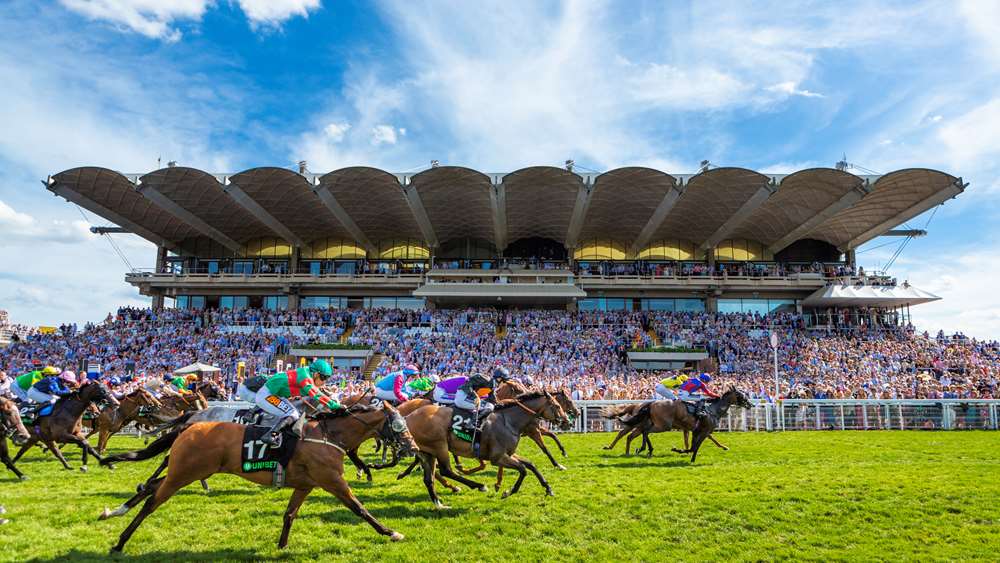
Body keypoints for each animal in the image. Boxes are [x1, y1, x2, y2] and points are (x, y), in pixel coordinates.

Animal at [98, 400, 418, 556]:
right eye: (399, 425)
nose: (413, 447)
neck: (329, 436)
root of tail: (190, 425)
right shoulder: (332, 481)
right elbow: (360, 509)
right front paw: (391, 532)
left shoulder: (306, 484)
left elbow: (289, 515)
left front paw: (282, 546)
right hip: (184, 473)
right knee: (152, 500)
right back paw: (120, 542)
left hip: (186, 470)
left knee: (150, 486)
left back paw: (113, 512)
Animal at [398, 392, 572, 506]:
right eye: (557, 405)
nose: (567, 422)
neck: (508, 421)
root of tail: (408, 417)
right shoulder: (497, 457)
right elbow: (523, 469)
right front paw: (508, 491)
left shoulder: (508, 453)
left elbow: (531, 465)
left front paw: (548, 488)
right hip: (439, 446)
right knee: (446, 470)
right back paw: (478, 485)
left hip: (427, 452)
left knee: (429, 478)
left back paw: (438, 501)